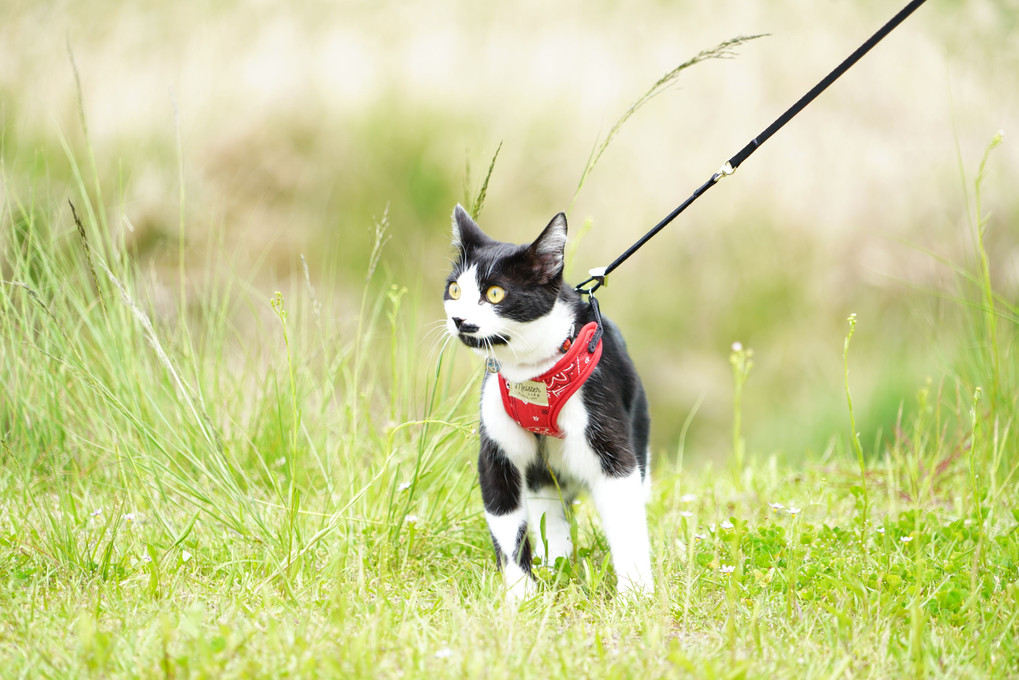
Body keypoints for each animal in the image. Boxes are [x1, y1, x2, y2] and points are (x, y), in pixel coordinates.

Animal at [444, 204, 652, 599]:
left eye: (496, 293)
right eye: (455, 289)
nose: (459, 319)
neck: (531, 371)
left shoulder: (609, 441)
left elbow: (624, 517)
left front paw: (637, 594)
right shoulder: (495, 450)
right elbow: (506, 522)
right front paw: (520, 595)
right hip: (544, 478)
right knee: (548, 506)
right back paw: (555, 561)